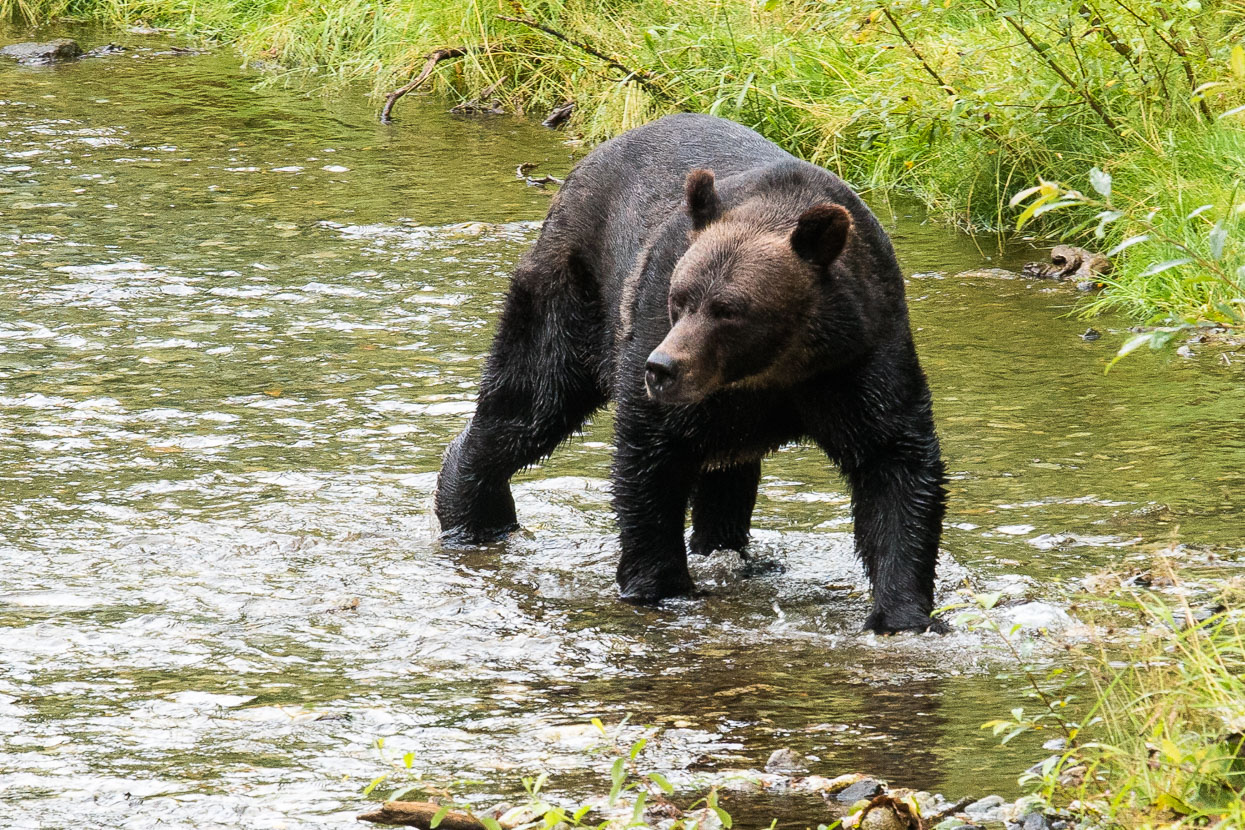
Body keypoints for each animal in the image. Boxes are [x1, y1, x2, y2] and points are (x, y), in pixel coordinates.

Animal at [433, 113, 946, 637]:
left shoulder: (858, 360)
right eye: (679, 298)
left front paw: (903, 613)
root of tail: (587, 163)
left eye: (729, 309)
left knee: (728, 471)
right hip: (576, 298)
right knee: (530, 400)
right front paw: (660, 586)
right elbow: (650, 461)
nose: (660, 368)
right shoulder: (660, 337)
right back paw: (473, 512)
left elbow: (894, 465)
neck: (771, 370)